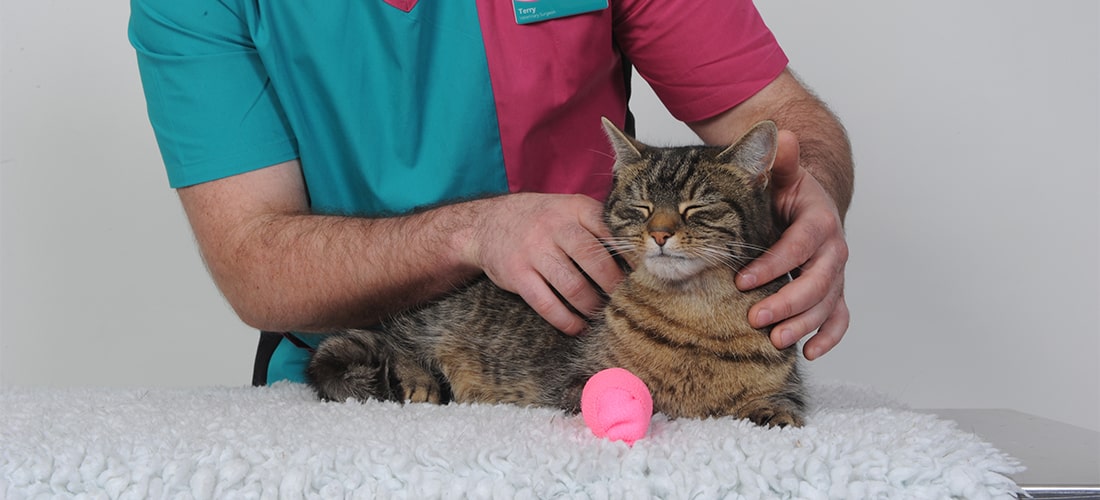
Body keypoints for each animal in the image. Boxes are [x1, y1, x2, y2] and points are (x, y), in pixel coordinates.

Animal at [305, 119, 805, 428]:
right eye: (640, 207)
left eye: (696, 207)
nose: (660, 234)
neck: (697, 310)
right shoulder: (577, 383)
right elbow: (644, 398)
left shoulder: (786, 386)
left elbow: (781, 404)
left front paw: (774, 416)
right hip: (430, 322)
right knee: (395, 342)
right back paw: (418, 379)